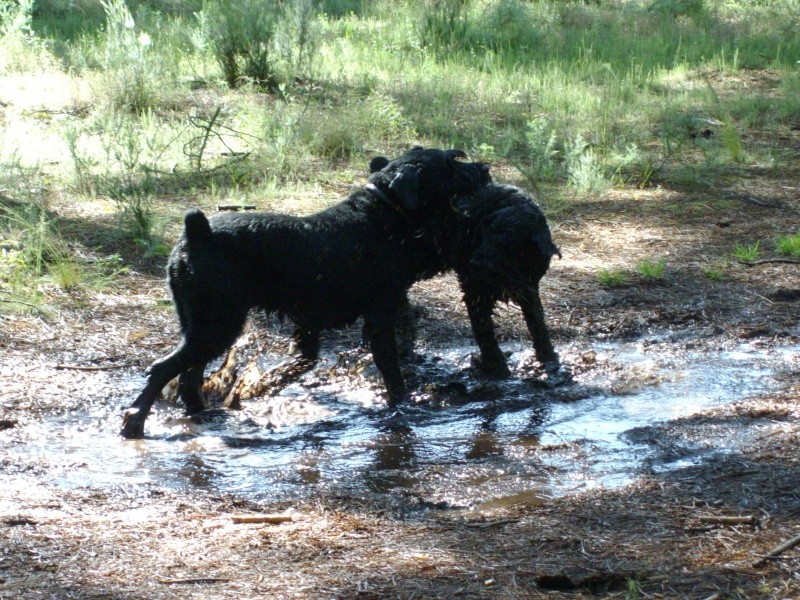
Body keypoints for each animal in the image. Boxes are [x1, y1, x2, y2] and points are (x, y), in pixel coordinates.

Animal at [121, 145, 490, 436]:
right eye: (451, 164)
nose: (484, 169)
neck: (382, 213)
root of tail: (198, 233)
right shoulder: (379, 315)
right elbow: (390, 368)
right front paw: (402, 405)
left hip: (202, 326)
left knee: (188, 376)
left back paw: (200, 415)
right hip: (217, 324)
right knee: (164, 369)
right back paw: (135, 424)